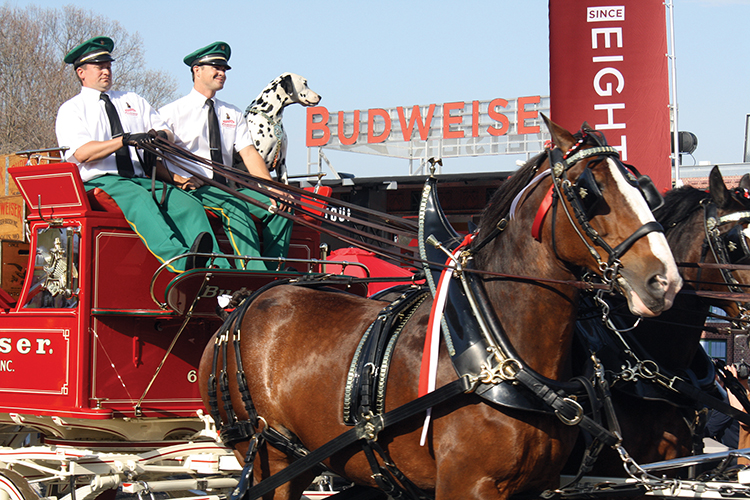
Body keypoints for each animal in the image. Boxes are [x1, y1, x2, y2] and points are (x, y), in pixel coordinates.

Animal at [198, 118, 680, 500]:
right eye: (588, 192)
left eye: (643, 188)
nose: (664, 281)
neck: (496, 351)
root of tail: (240, 308)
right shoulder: (467, 484)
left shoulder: (534, 487)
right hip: (271, 460)